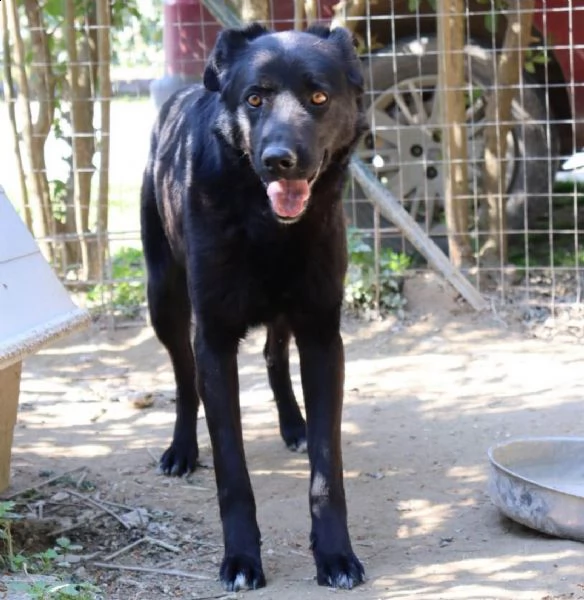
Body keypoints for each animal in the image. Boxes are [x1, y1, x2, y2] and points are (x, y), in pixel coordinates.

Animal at [141, 22, 368, 592]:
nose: (278, 159)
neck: (266, 225)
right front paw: (241, 559)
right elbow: (232, 473)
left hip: (284, 311)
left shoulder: (321, 333)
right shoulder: (214, 338)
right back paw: (181, 450)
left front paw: (335, 555)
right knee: (183, 378)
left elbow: (327, 472)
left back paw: (294, 424)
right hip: (164, 300)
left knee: (272, 355)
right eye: (254, 98)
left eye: (318, 97)